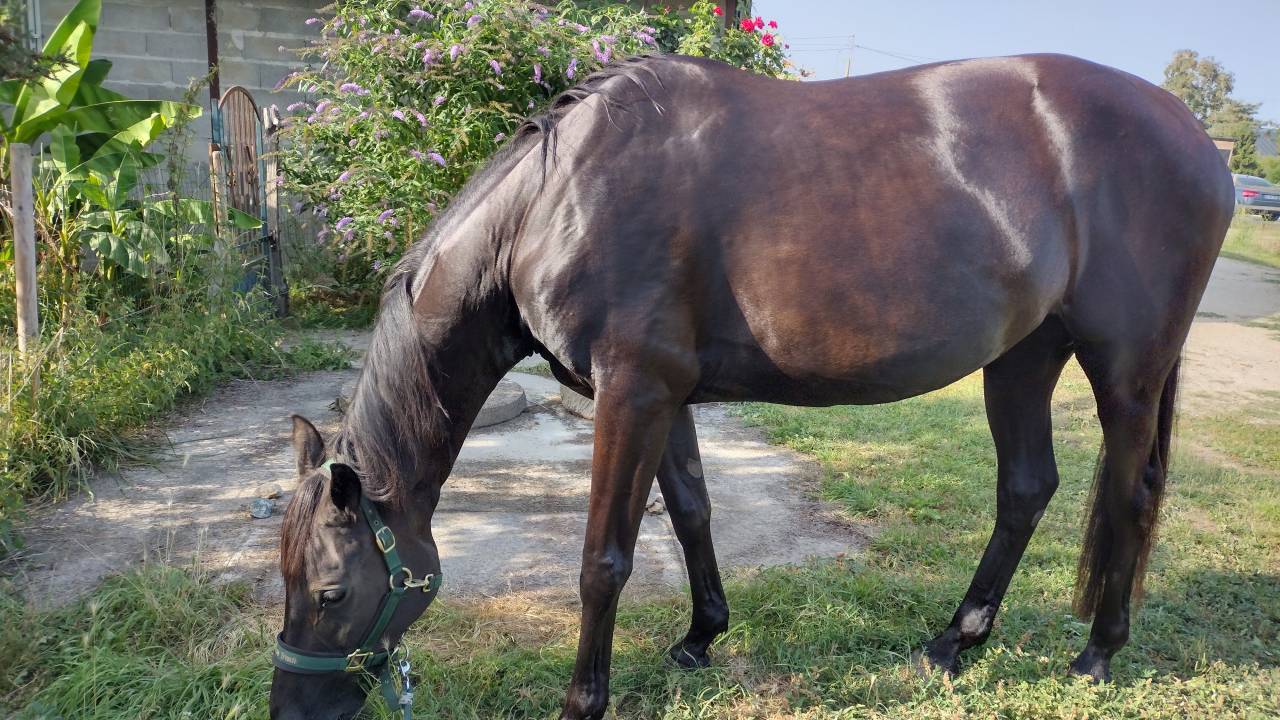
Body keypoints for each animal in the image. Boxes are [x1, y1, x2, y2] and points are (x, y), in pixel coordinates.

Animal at [268, 53, 1233, 719]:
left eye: (330, 592)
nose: (292, 709)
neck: (559, 198)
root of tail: (1197, 140)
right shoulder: (665, 397)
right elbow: (691, 513)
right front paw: (701, 637)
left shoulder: (631, 393)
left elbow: (603, 560)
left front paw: (586, 700)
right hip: (1025, 357)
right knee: (1027, 488)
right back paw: (953, 644)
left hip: (1126, 371)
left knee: (1130, 493)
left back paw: (1099, 654)